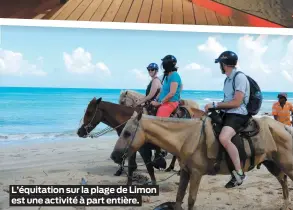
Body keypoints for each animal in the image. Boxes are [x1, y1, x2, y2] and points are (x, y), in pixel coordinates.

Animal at [110, 110, 293, 210]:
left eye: (127, 133)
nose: (114, 156)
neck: (187, 137)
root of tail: (284, 127)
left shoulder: (196, 174)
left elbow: (191, 200)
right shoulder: (185, 172)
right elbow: (178, 198)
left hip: (287, 165)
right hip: (272, 164)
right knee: (283, 181)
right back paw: (285, 205)